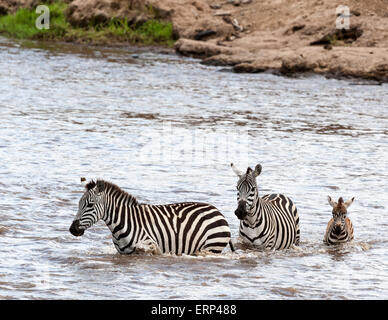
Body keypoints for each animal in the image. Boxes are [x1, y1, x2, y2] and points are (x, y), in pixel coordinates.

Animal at [69, 178, 233, 255]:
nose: (72, 229)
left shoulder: (150, 246)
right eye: (79, 204)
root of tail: (218, 211)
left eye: (90, 205)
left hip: (212, 246)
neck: (122, 223)